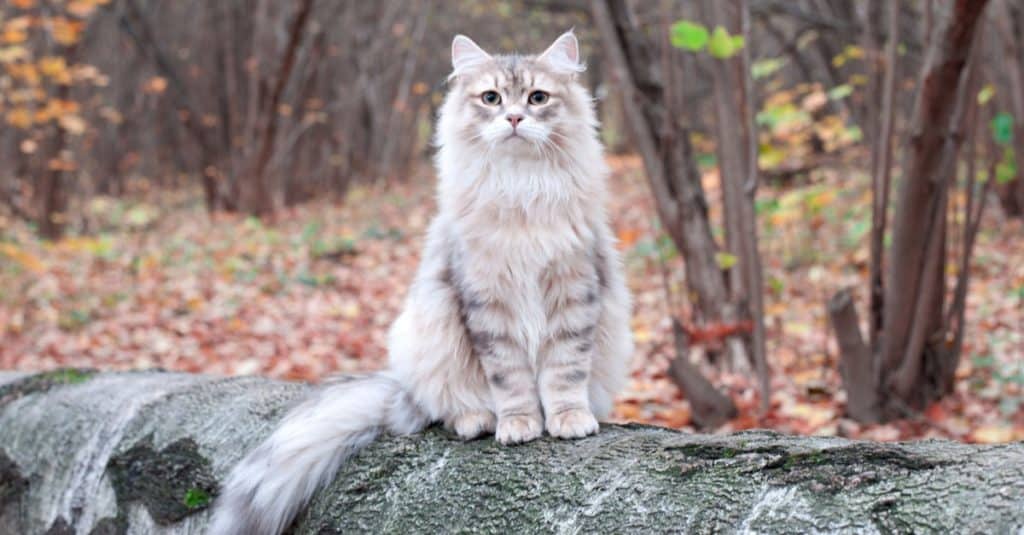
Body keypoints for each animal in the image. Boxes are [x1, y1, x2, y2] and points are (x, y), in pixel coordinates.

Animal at [209, 32, 630, 532]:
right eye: (491, 98)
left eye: (537, 98)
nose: (513, 118)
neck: (520, 188)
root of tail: (401, 393)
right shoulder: (486, 300)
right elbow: (511, 380)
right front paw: (519, 425)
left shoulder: (574, 288)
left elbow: (564, 371)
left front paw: (568, 419)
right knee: (447, 409)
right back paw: (477, 420)